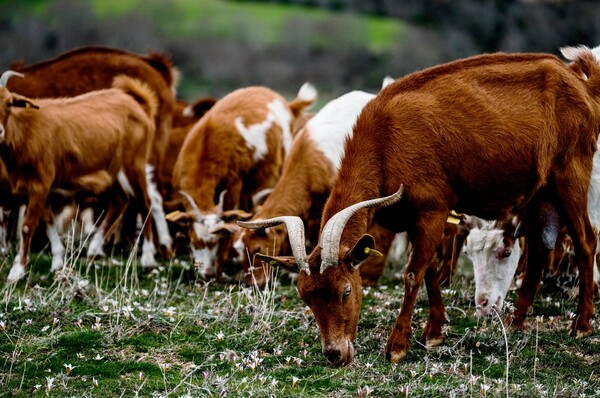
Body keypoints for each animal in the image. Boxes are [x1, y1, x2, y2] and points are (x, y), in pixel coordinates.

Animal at [0, 72, 162, 282]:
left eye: (9, 103)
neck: (25, 132)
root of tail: (138, 104)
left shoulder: (40, 184)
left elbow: (28, 226)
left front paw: (17, 270)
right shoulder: (42, 187)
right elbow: (48, 220)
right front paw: (57, 260)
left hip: (133, 165)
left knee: (145, 203)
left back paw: (148, 258)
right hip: (111, 173)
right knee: (120, 201)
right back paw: (93, 248)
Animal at [171, 82, 316, 278]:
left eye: (218, 242)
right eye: (195, 241)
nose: (208, 273)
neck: (204, 146)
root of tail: (284, 102)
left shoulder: (233, 183)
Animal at [238, 48, 600, 366]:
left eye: (345, 291)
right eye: (306, 296)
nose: (335, 354)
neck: (385, 142)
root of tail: (580, 83)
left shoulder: (433, 209)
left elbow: (414, 273)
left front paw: (398, 346)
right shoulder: (412, 217)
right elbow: (429, 272)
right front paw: (434, 332)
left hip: (571, 172)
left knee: (585, 241)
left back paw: (582, 324)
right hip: (539, 190)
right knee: (539, 247)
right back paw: (517, 321)